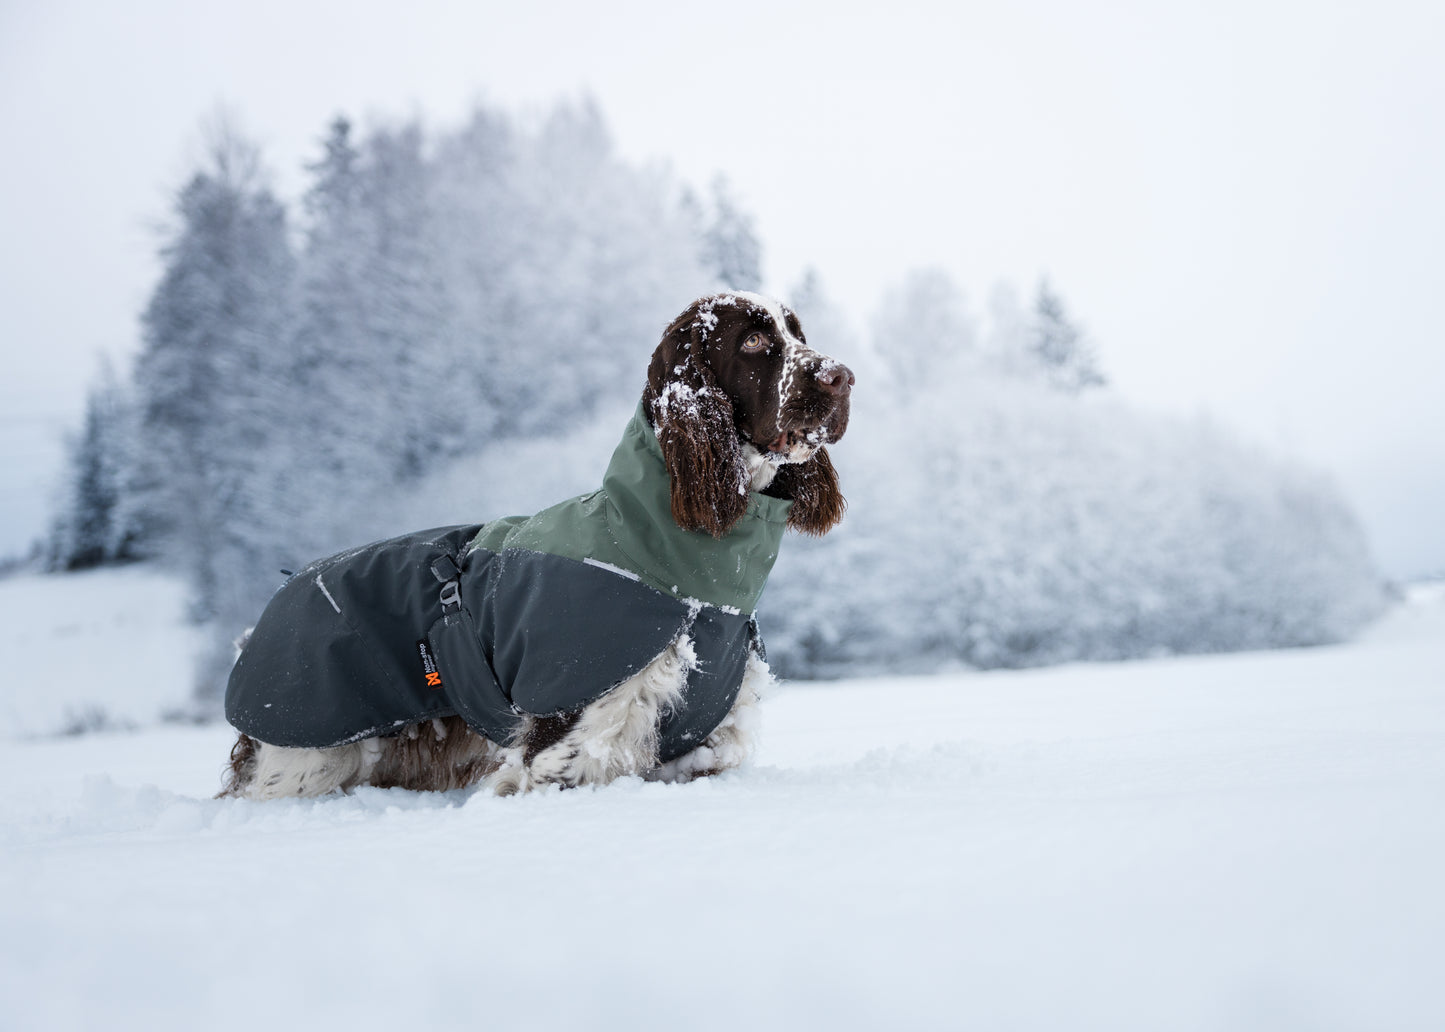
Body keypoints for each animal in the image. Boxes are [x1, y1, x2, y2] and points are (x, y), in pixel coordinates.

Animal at [219, 289, 849, 797]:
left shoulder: (702, 745)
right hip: (306, 751)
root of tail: (264, 614)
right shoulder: (564, 740)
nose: (842, 375)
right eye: (753, 340)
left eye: (798, 334)